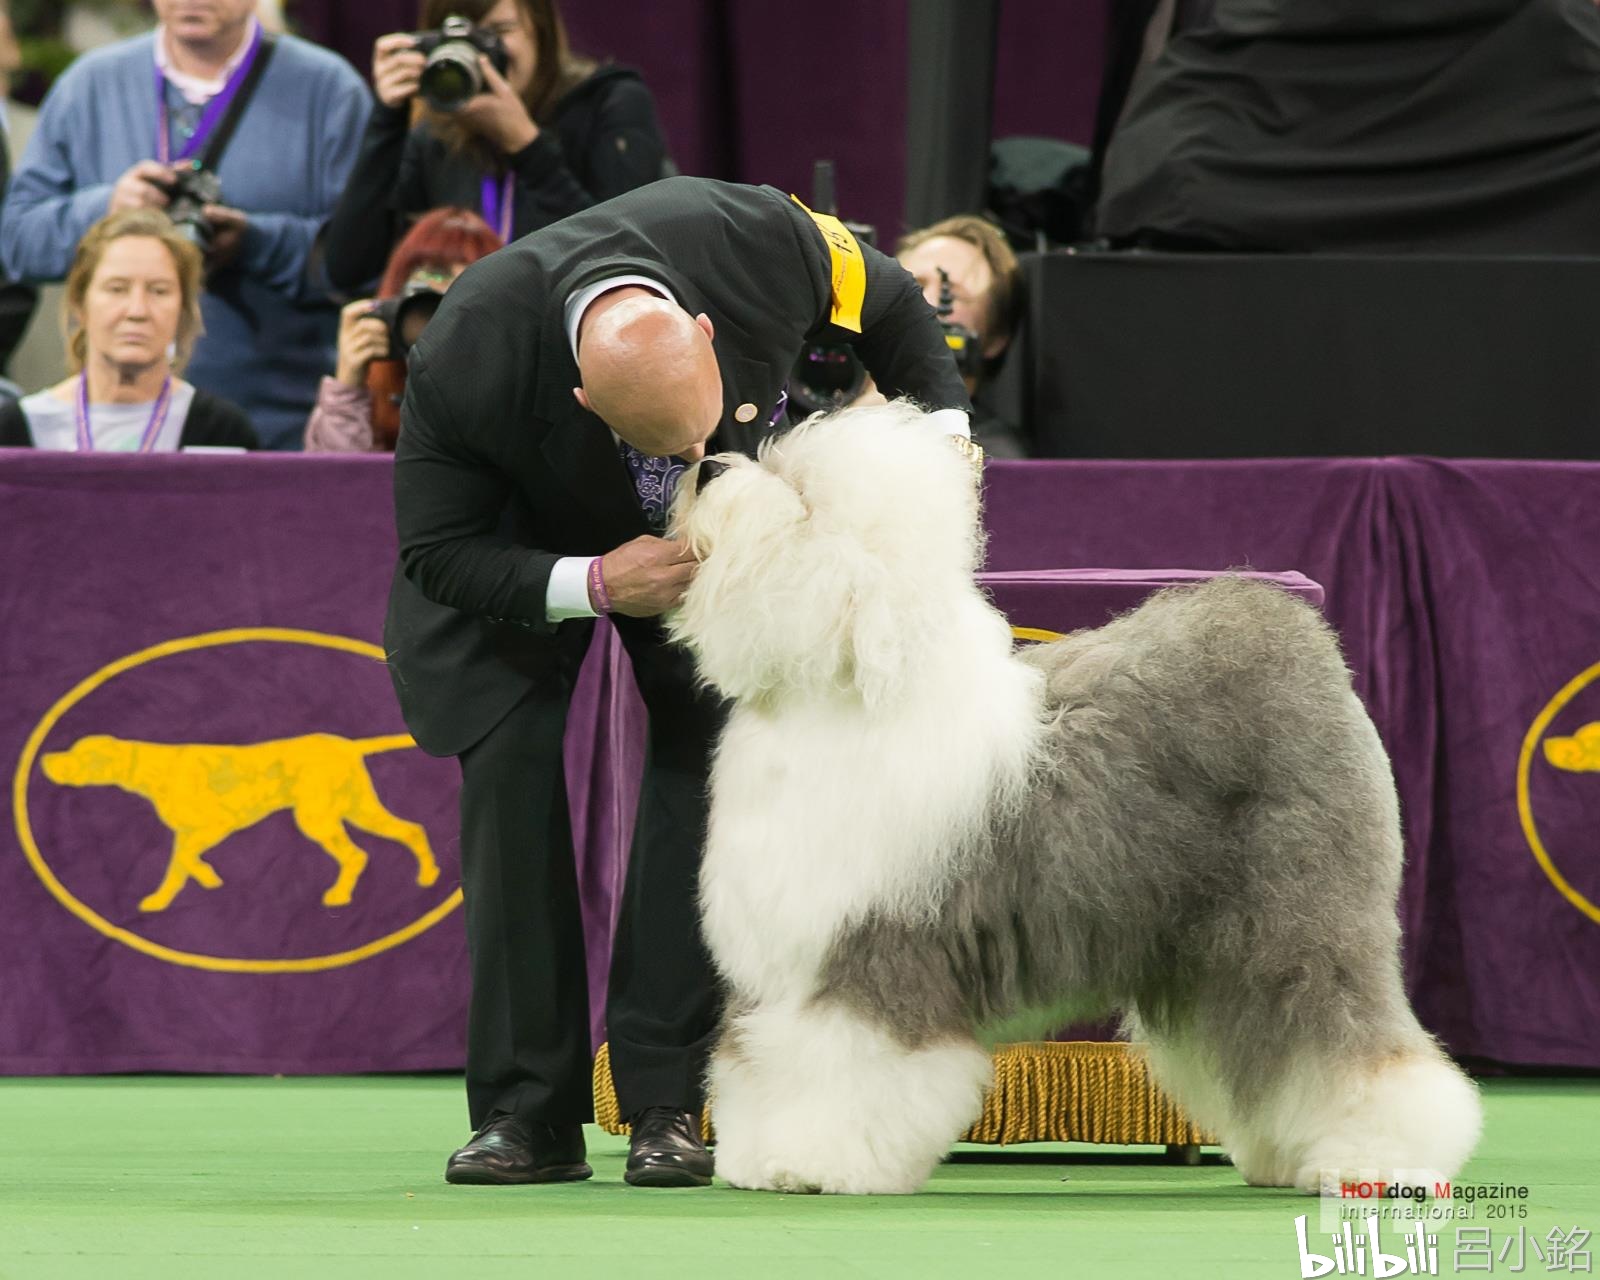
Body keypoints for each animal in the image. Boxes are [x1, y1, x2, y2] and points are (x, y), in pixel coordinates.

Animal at [659, 403, 1472, 1203]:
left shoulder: (871, 951)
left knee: (1344, 1035)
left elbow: (847, 1066)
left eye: (798, 497)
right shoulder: (781, 963)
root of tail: (1297, 640)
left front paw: (817, 1163)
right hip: (1209, 950)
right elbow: (766, 1062)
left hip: (1297, 919)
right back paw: (1287, 1156)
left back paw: (1376, 1160)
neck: (840, 694)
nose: (705, 468)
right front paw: (761, 1158)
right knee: (1254, 1046)